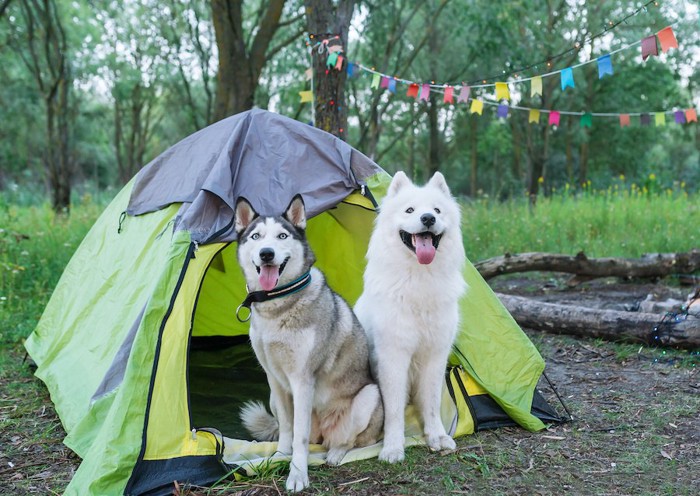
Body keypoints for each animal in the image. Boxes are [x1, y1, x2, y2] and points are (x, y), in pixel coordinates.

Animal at [235, 195, 382, 492]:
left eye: (282, 236)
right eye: (256, 236)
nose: (266, 253)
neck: (277, 304)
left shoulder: (302, 379)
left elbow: (299, 436)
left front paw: (297, 475)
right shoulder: (274, 379)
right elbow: (288, 429)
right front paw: (280, 457)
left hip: (369, 397)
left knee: (349, 440)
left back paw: (336, 453)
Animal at [356, 172, 464, 464]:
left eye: (437, 210)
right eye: (410, 210)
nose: (428, 219)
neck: (419, 279)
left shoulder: (435, 355)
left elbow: (432, 403)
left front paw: (437, 437)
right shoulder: (393, 357)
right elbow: (394, 410)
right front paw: (393, 447)